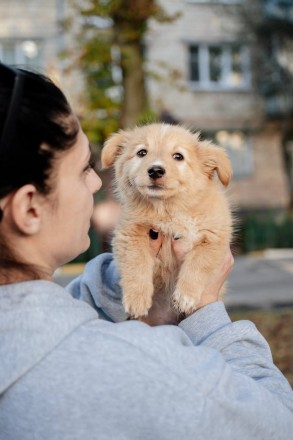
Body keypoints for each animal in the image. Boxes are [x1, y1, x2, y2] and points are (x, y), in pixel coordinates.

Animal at [101, 122, 232, 318]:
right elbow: (136, 263)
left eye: (178, 156)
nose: (155, 170)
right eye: (142, 152)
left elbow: (198, 263)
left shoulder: (213, 238)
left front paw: (186, 296)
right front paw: (137, 299)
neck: (166, 211)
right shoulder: (130, 233)